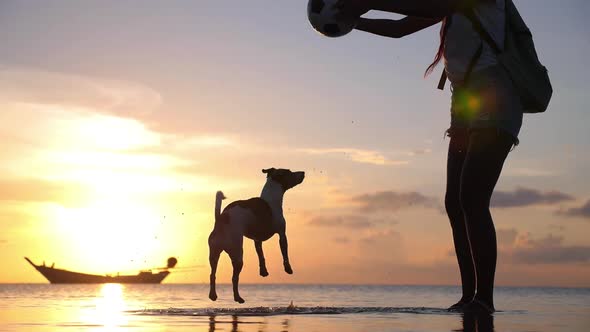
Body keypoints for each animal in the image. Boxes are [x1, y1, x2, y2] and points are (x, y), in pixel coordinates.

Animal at [207, 167, 306, 302]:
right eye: (290, 173)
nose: (303, 172)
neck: (270, 199)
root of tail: (221, 220)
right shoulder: (282, 234)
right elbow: (285, 254)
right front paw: (288, 269)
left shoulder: (257, 240)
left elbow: (261, 255)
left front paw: (263, 271)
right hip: (237, 254)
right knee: (234, 278)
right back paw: (238, 297)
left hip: (214, 254)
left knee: (212, 274)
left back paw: (213, 295)